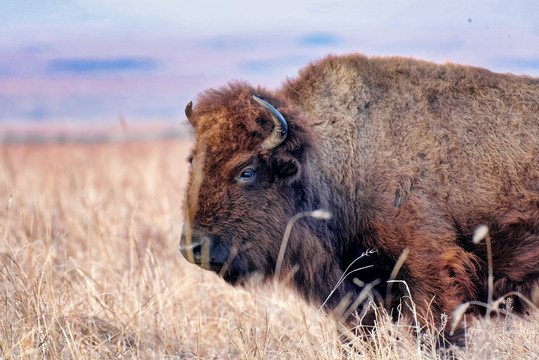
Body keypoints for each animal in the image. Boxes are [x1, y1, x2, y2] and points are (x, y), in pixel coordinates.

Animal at [178, 53, 539, 344]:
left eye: (247, 171)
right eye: (193, 160)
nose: (192, 248)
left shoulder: (431, 270)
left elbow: (436, 335)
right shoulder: (355, 288)